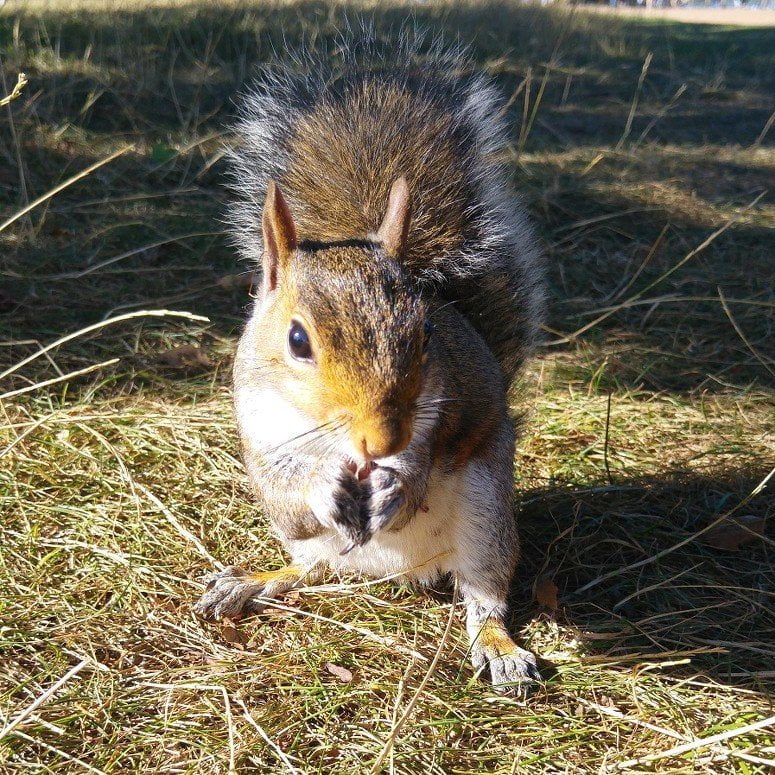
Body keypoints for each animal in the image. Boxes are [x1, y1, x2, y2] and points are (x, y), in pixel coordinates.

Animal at [194, 34, 544, 692]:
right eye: (296, 340)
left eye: (427, 332)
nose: (382, 441)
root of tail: (404, 572)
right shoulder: (258, 434)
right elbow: (286, 499)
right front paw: (319, 482)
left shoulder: (431, 423)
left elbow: (417, 476)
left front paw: (395, 486)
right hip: (318, 548)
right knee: (311, 569)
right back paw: (251, 581)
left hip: (487, 511)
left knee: (485, 595)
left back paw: (499, 647)